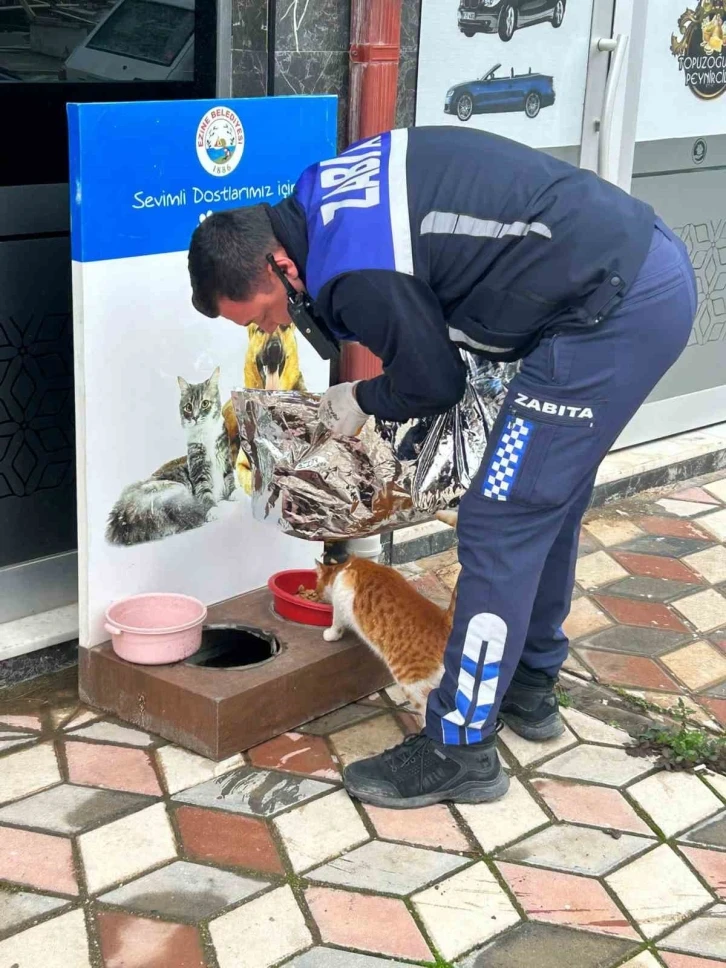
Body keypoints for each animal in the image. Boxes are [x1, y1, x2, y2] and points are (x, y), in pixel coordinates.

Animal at [318, 556, 458, 716]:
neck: (346, 566)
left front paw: (330, 634)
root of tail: (445, 623)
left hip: (412, 685)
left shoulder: (340, 601)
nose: (317, 595)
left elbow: (336, 622)